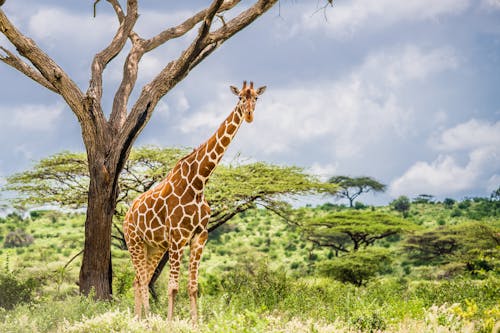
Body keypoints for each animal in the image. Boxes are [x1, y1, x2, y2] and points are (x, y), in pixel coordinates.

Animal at [122, 80, 266, 320]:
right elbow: (173, 287)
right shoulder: (178, 238)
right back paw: (147, 320)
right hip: (134, 241)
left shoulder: (199, 236)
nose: (249, 115)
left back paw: (140, 319)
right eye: (239, 98)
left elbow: (193, 287)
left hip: (154, 247)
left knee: (137, 280)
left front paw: (195, 323)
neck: (198, 182)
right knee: (141, 280)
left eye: (256, 98)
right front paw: (170, 323)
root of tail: (127, 213)